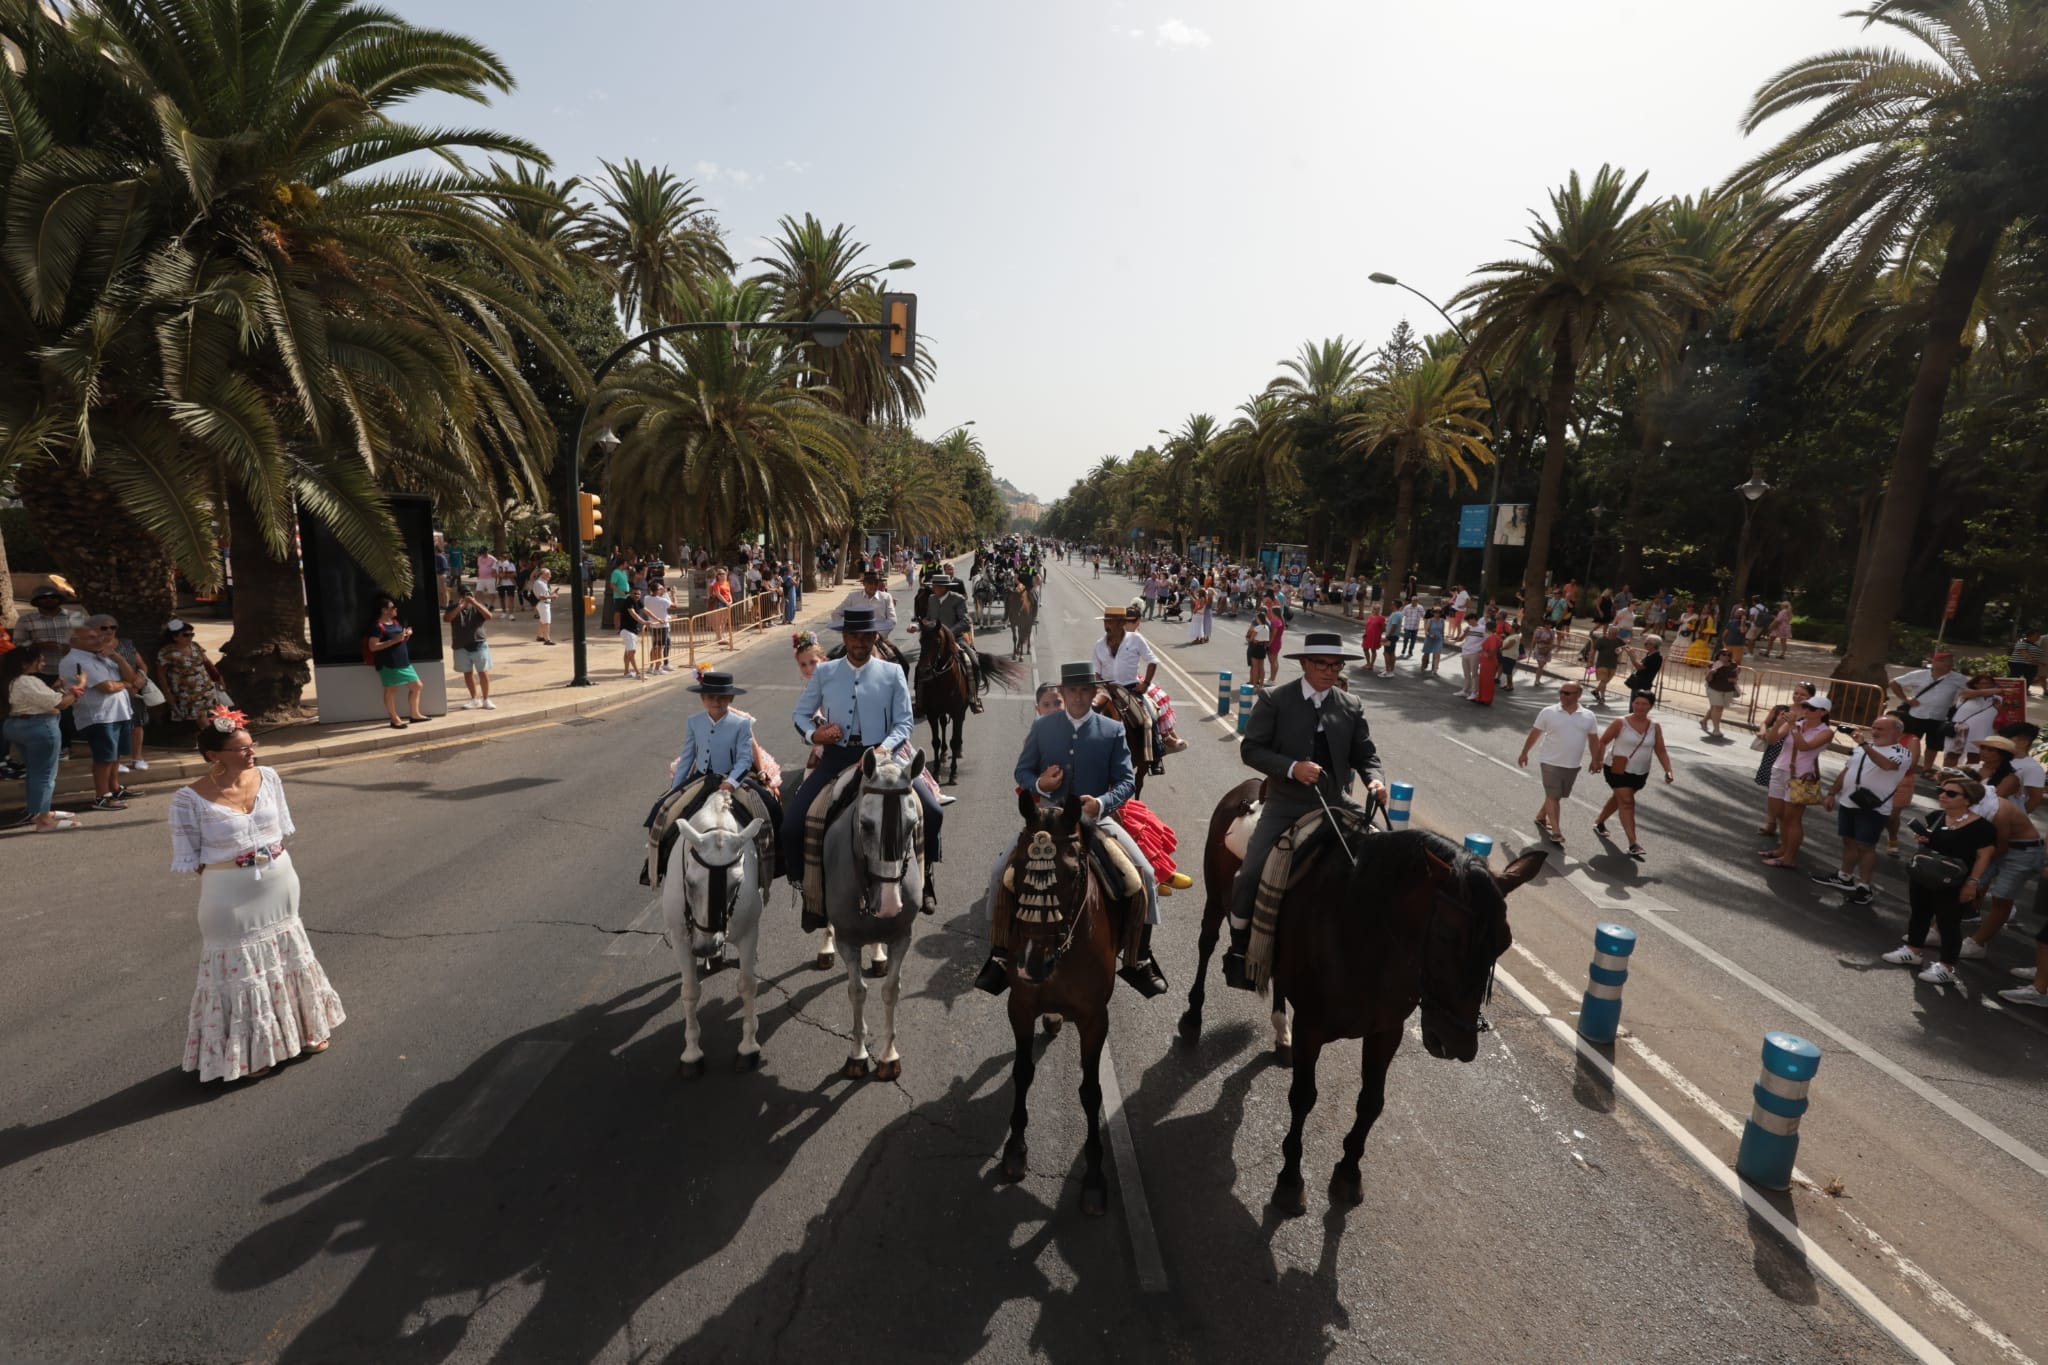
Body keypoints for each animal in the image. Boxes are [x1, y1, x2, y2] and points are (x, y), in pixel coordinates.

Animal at [663, 789, 770, 1080]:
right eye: (689, 883)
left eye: (737, 883)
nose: (706, 948)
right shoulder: (680, 938)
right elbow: (689, 991)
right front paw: (691, 1054)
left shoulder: (749, 933)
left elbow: (747, 985)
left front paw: (748, 1047)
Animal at [823, 749, 937, 1080]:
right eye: (866, 824)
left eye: (913, 825)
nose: (888, 905)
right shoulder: (848, 940)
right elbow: (857, 991)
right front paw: (858, 1055)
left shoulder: (902, 937)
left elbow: (890, 991)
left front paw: (888, 1056)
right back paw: (825, 948)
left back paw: (876, 955)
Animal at [991, 789, 1122, 1219]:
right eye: (1017, 867)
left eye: (1074, 874)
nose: (1032, 963)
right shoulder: (1019, 1005)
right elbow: (1022, 1071)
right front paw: (1015, 1148)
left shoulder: (1096, 1019)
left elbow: (1091, 1092)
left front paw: (1095, 1175)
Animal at [1171, 789, 1540, 1219]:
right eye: (1447, 936)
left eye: (1504, 943)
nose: (1459, 1044)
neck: (1366, 933)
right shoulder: (1312, 1027)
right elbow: (1303, 1097)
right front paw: (1290, 1182)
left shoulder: (1386, 1032)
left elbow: (1371, 1102)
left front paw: (1348, 1173)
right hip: (1217, 899)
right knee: (1206, 943)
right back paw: (1193, 1018)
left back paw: (1281, 1034)